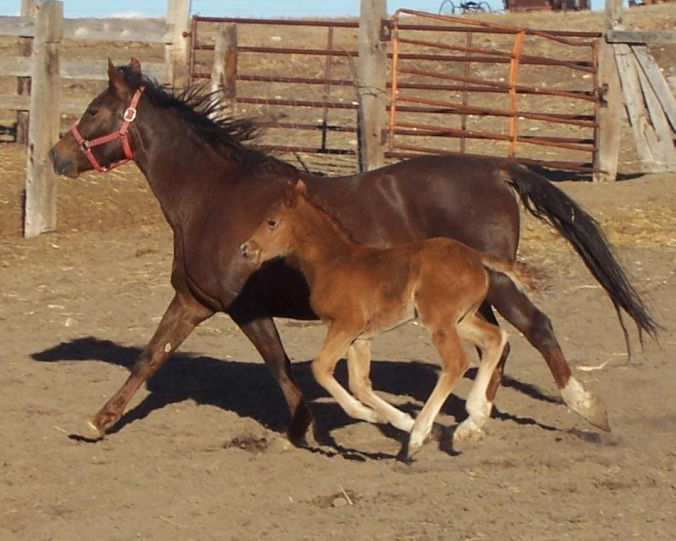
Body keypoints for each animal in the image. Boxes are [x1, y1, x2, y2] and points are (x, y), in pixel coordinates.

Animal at [242, 180, 540, 456]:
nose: (247, 249)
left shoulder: (345, 325)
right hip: (461, 319)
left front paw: (385, 419)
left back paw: (421, 434)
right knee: (495, 339)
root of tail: (474, 255)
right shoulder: (359, 337)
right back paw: (469, 421)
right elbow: (359, 384)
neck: (333, 263)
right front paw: (396, 419)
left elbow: (321, 368)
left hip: (439, 320)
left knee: (457, 361)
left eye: (271, 222)